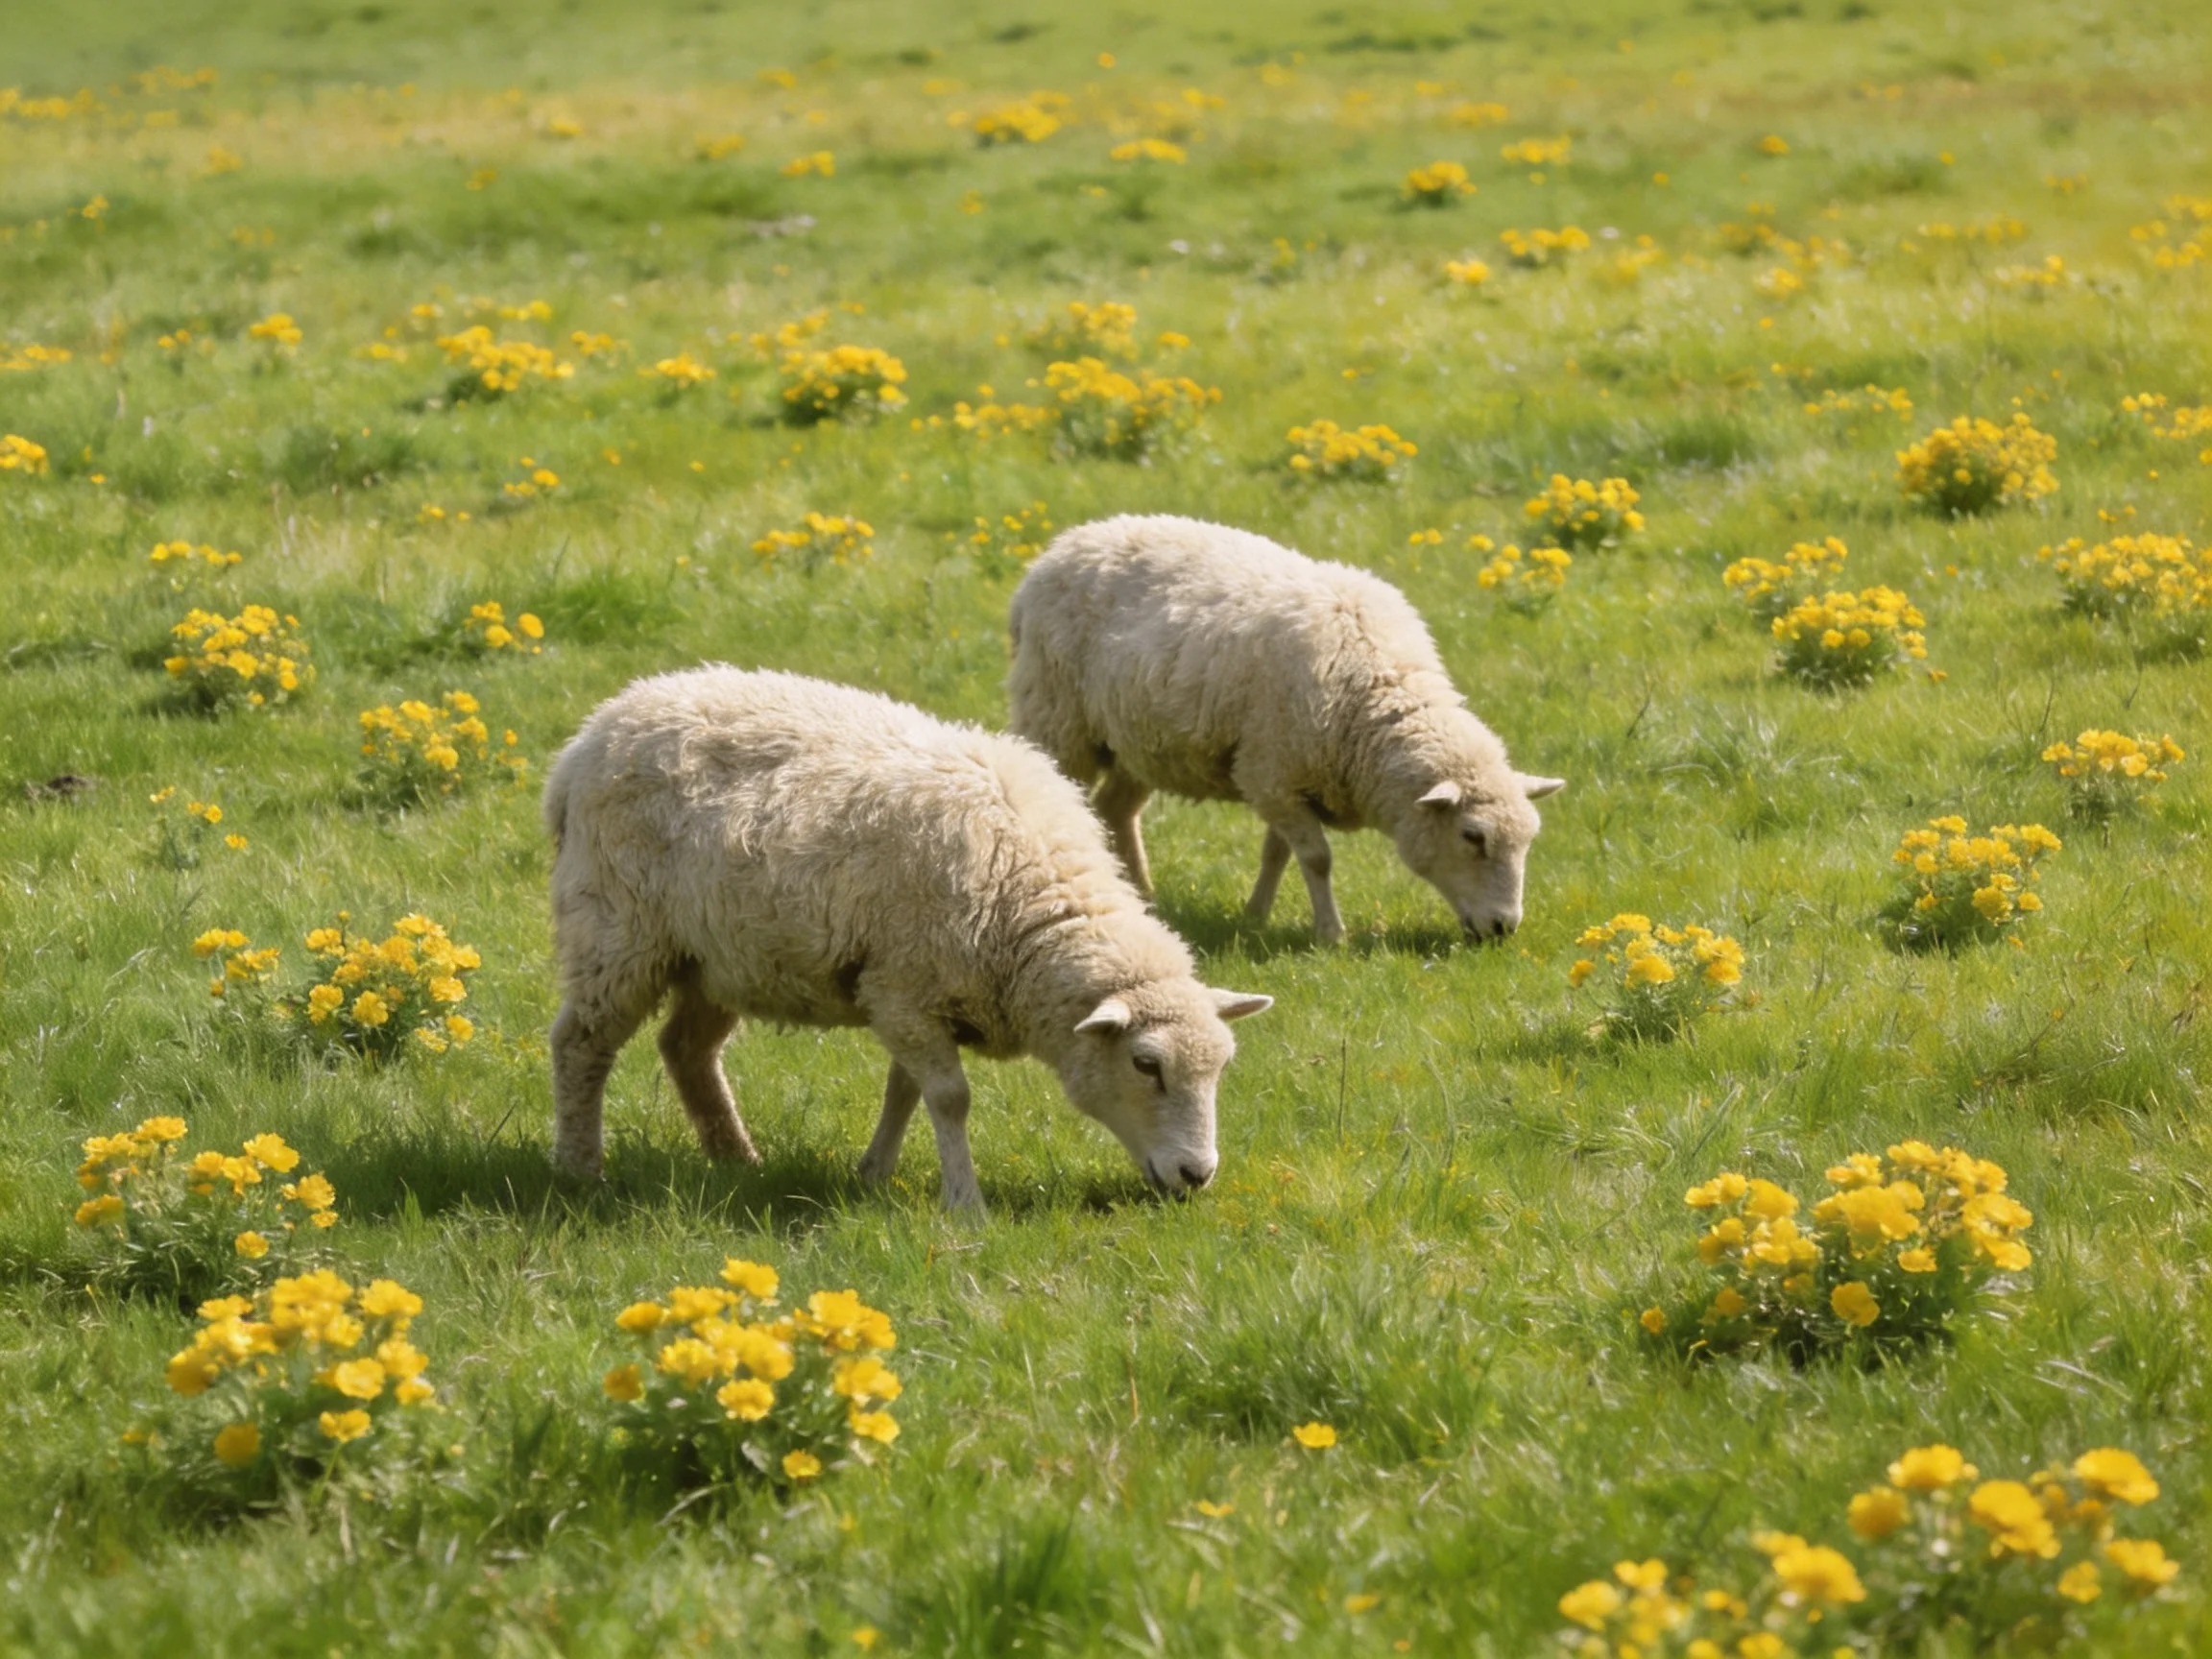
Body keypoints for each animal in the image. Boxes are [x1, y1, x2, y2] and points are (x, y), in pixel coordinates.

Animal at [542, 666, 1272, 1209]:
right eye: (1146, 1065)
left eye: (1222, 1067)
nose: (1197, 1175)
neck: (1028, 903)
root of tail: (592, 733)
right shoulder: (904, 987)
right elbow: (949, 1098)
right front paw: (965, 1203)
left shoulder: (914, 992)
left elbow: (907, 1091)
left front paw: (874, 1172)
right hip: (617, 929)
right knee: (582, 1044)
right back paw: (581, 1168)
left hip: (722, 952)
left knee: (686, 1049)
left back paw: (736, 1157)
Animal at [1008, 514, 1565, 945]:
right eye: (1473, 837)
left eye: (1528, 841)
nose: (1504, 928)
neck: (1371, 691)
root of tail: (1061, 546)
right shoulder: (1271, 771)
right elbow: (1316, 858)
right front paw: (1331, 934)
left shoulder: (1280, 775)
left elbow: (1276, 851)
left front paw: (1255, 915)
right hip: (1056, 719)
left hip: (1139, 742)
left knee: (1115, 810)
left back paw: (1144, 897)